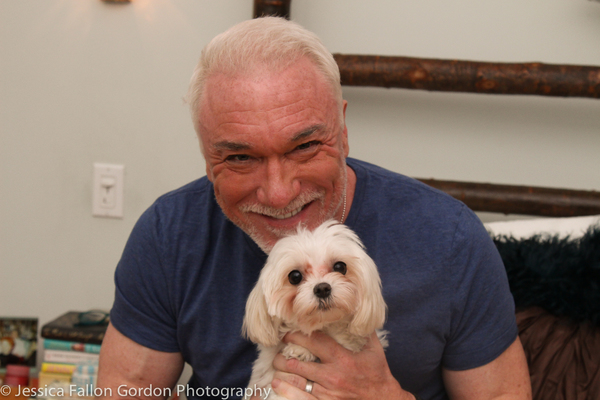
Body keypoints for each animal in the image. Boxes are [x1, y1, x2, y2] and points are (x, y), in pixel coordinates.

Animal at [241, 220, 386, 398]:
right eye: (294, 276)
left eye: (340, 267)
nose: (322, 289)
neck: (321, 327)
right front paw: (300, 350)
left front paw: (301, 349)